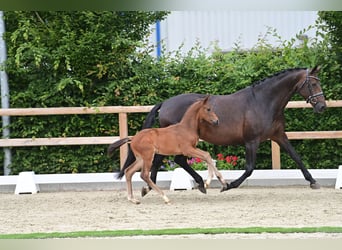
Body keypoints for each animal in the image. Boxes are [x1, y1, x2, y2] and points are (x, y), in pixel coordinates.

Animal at [121, 66, 324, 195]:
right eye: (313, 84)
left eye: (318, 82)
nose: (322, 106)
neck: (263, 101)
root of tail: (165, 103)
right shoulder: (252, 141)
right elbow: (249, 168)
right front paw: (228, 185)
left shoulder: (279, 136)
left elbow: (296, 157)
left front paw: (313, 181)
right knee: (167, 160)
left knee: (171, 161)